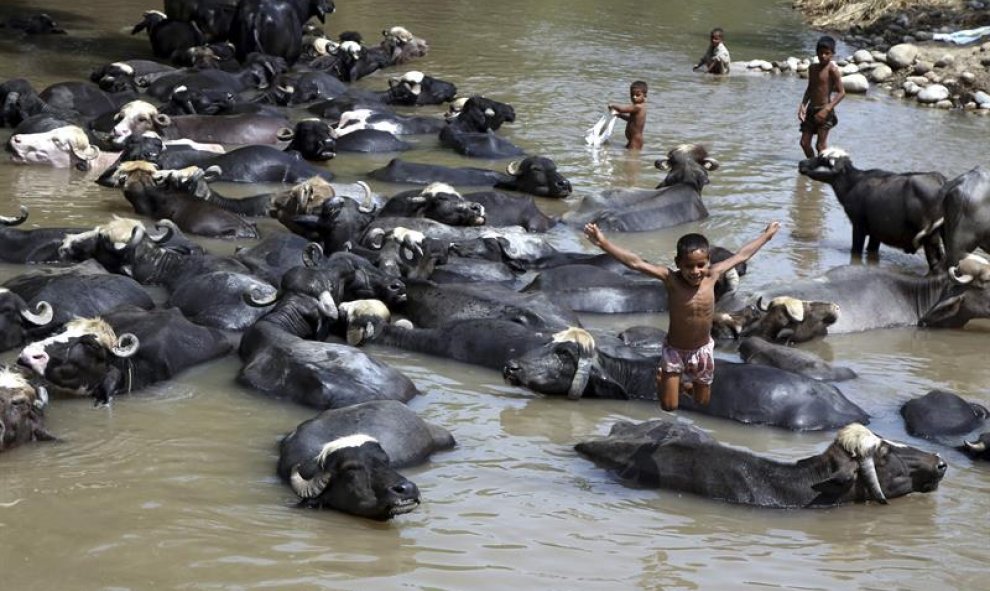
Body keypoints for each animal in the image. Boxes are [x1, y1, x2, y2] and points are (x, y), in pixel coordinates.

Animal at [796, 147, 948, 270]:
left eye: (822, 159)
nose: (801, 163)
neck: (852, 184)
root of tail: (940, 180)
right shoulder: (877, 231)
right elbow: (871, 251)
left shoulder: (858, 225)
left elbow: (856, 249)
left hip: (930, 237)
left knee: (936, 261)